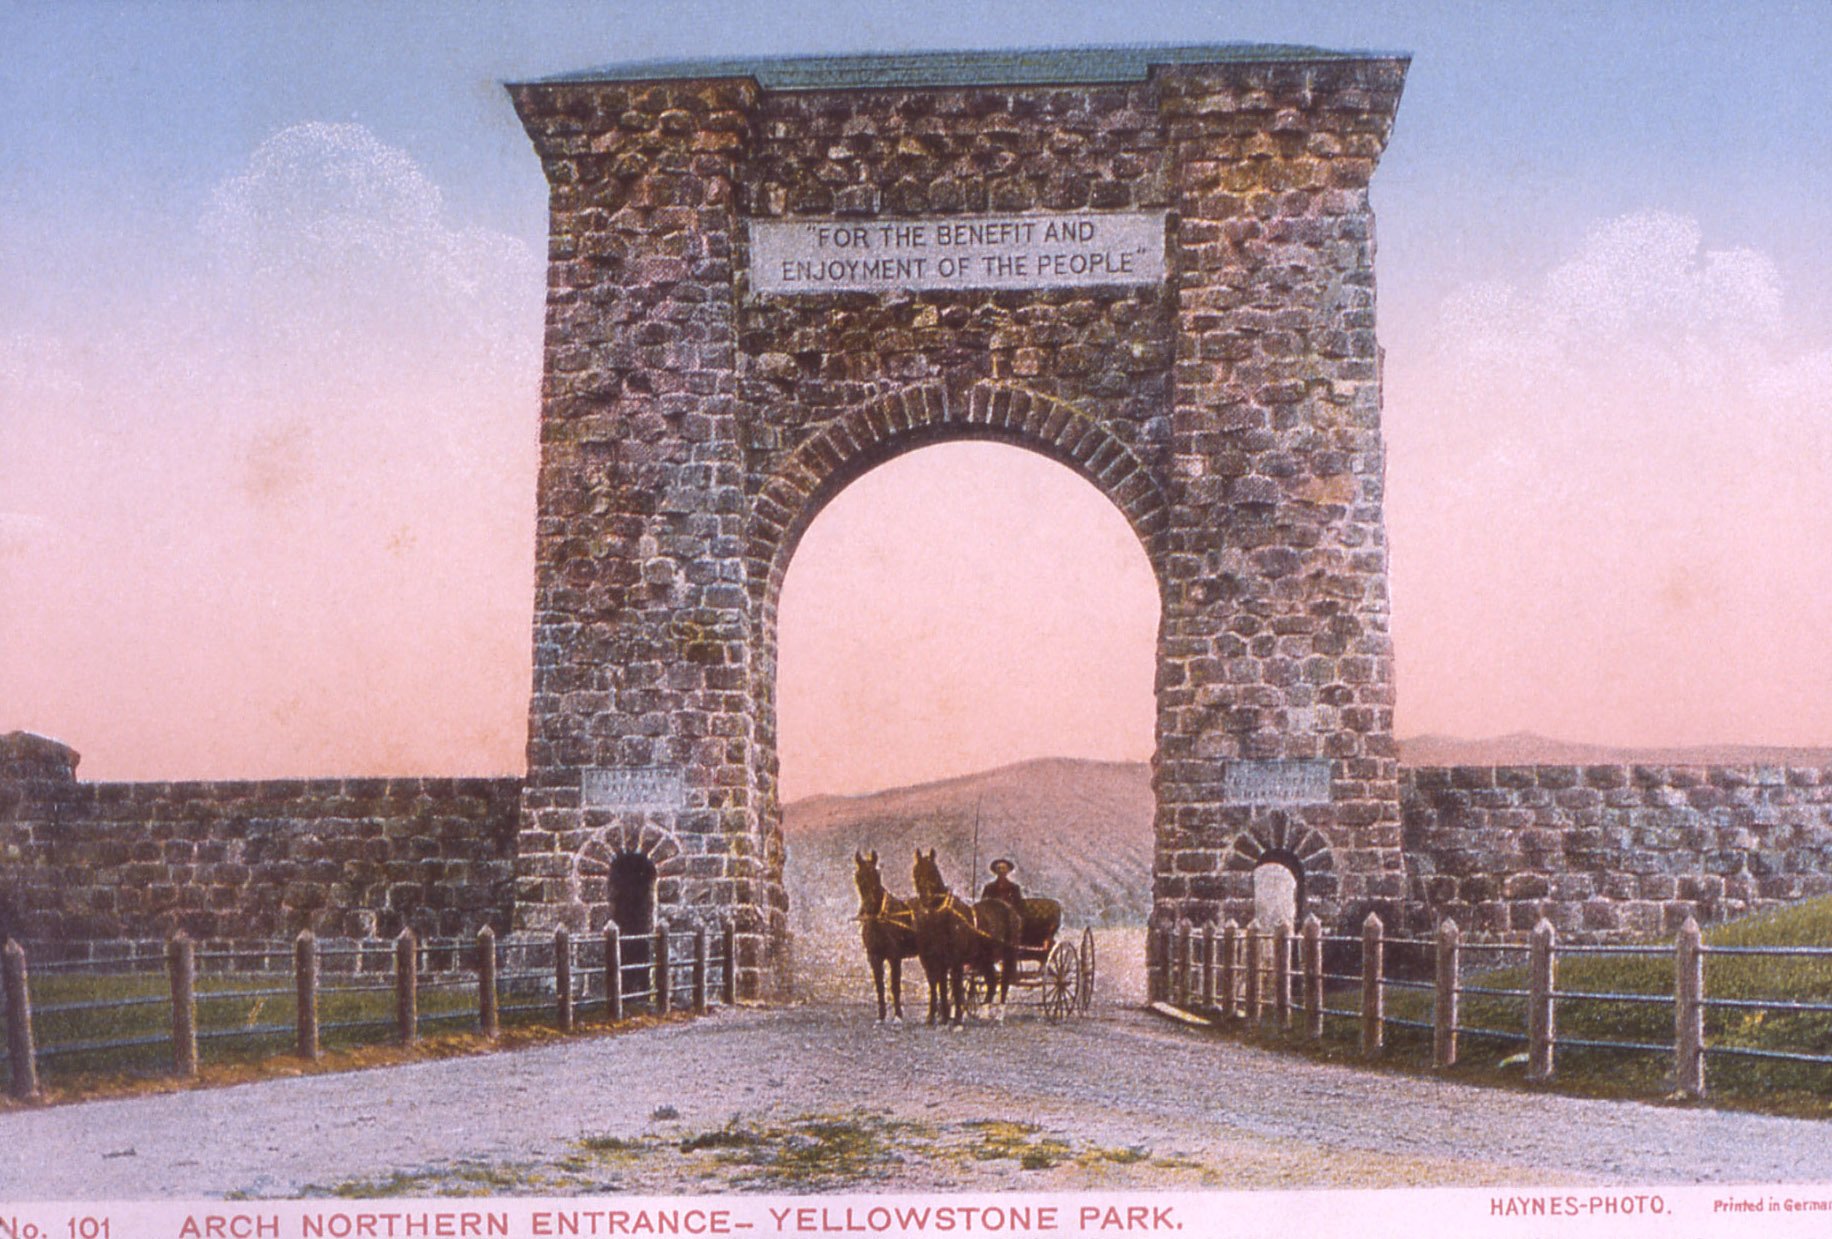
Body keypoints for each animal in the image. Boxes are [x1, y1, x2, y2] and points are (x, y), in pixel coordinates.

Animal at [853, 846, 916, 1019]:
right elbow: (879, 986)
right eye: (858, 877)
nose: (868, 908)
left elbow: (895, 986)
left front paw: (898, 1015)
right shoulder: (874, 957)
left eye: (877, 875)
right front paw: (881, 1015)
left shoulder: (894, 957)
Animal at [912, 846, 1025, 1033]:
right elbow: (938, 989)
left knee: (1004, 982)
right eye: (916, 872)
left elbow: (956, 989)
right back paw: (984, 1012)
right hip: (985, 959)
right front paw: (939, 1019)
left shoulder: (956, 963)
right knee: (992, 981)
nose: (926, 900)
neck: (941, 919)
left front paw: (957, 1020)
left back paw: (999, 1016)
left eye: (933, 871)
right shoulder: (934, 963)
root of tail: (1009, 909)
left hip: (1009, 954)